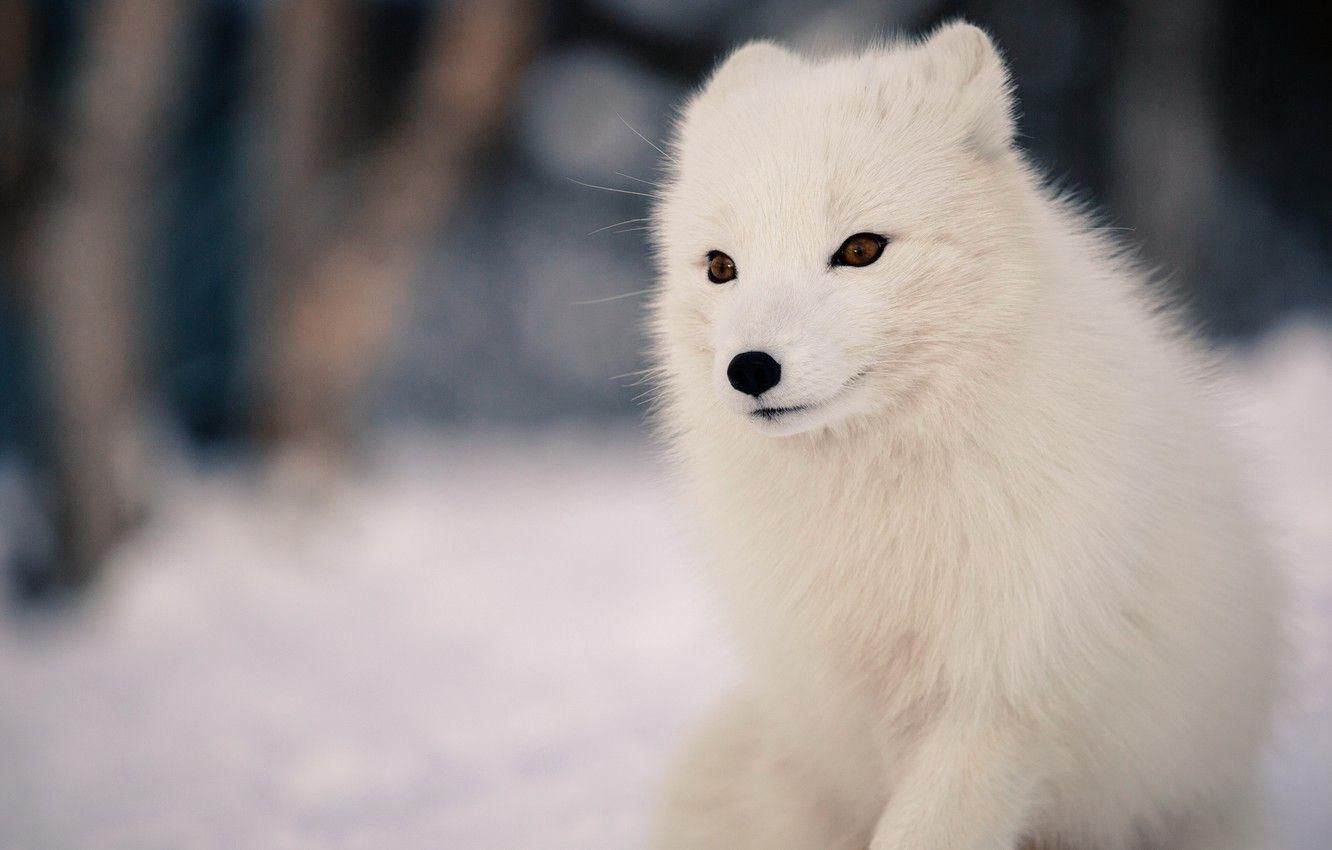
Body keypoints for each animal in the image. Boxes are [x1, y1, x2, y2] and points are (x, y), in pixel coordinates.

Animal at [645, 21, 1283, 850]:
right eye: (721, 267)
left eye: (860, 250)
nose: (749, 369)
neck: (879, 505)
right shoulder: (871, 702)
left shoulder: (1002, 694)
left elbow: (928, 827)